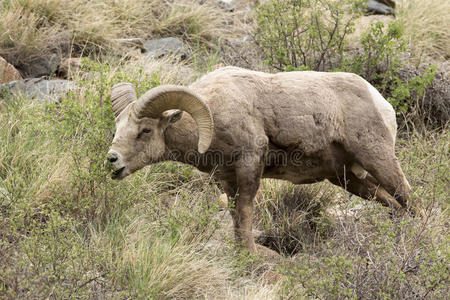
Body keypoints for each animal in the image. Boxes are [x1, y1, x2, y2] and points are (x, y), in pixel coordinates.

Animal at [107, 67, 416, 254]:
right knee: (394, 205)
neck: (215, 112)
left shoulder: (249, 167)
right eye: (118, 126)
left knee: (410, 200)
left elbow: (244, 213)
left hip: (378, 159)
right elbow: (234, 216)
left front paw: (250, 254)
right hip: (349, 178)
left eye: (146, 130)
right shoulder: (227, 179)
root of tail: (382, 103)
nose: (112, 160)